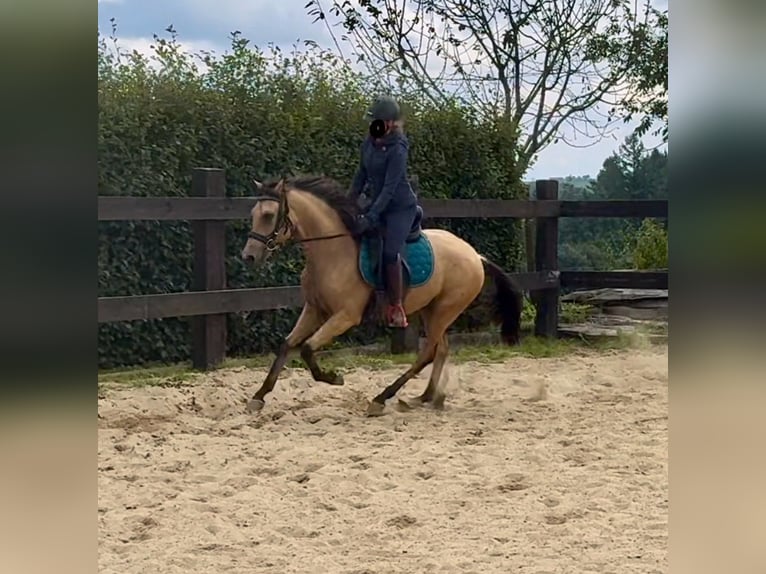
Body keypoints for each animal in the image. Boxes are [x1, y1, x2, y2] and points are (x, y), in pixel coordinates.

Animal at [243, 173, 524, 416]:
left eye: (269, 215)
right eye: (253, 214)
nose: (249, 257)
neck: (333, 251)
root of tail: (475, 255)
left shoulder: (345, 316)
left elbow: (307, 349)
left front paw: (334, 378)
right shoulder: (314, 310)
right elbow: (287, 345)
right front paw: (258, 397)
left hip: (445, 310)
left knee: (428, 353)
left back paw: (382, 399)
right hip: (431, 310)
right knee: (441, 349)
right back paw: (426, 397)